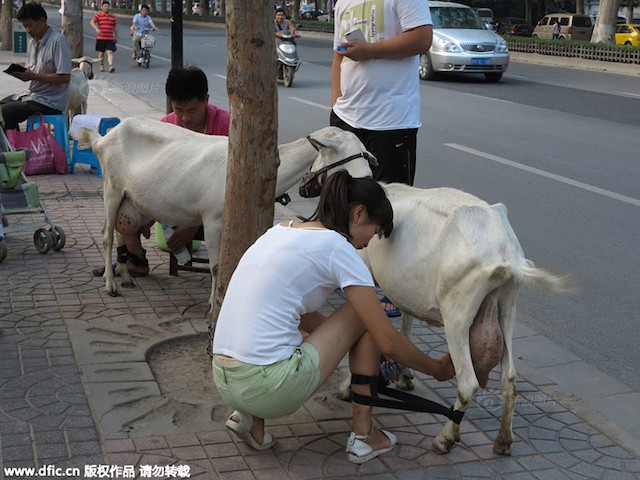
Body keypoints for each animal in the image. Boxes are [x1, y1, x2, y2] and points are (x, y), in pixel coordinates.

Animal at [75, 120, 376, 312]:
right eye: (343, 155)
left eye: (365, 154)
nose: (370, 183)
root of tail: (102, 138)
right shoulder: (212, 219)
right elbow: (217, 266)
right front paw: (212, 305)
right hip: (111, 188)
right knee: (106, 235)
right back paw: (111, 285)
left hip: (129, 200)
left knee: (121, 231)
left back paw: (126, 276)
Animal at [342, 185, 572, 458]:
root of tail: (506, 256)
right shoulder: (405, 293)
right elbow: (405, 326)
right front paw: (403, 376)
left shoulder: (362, 269)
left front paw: (347, 386)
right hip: (508, 306)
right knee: (509, 379)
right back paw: (503, 441)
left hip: (458, 313)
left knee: (468, 383)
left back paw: (445, 439)